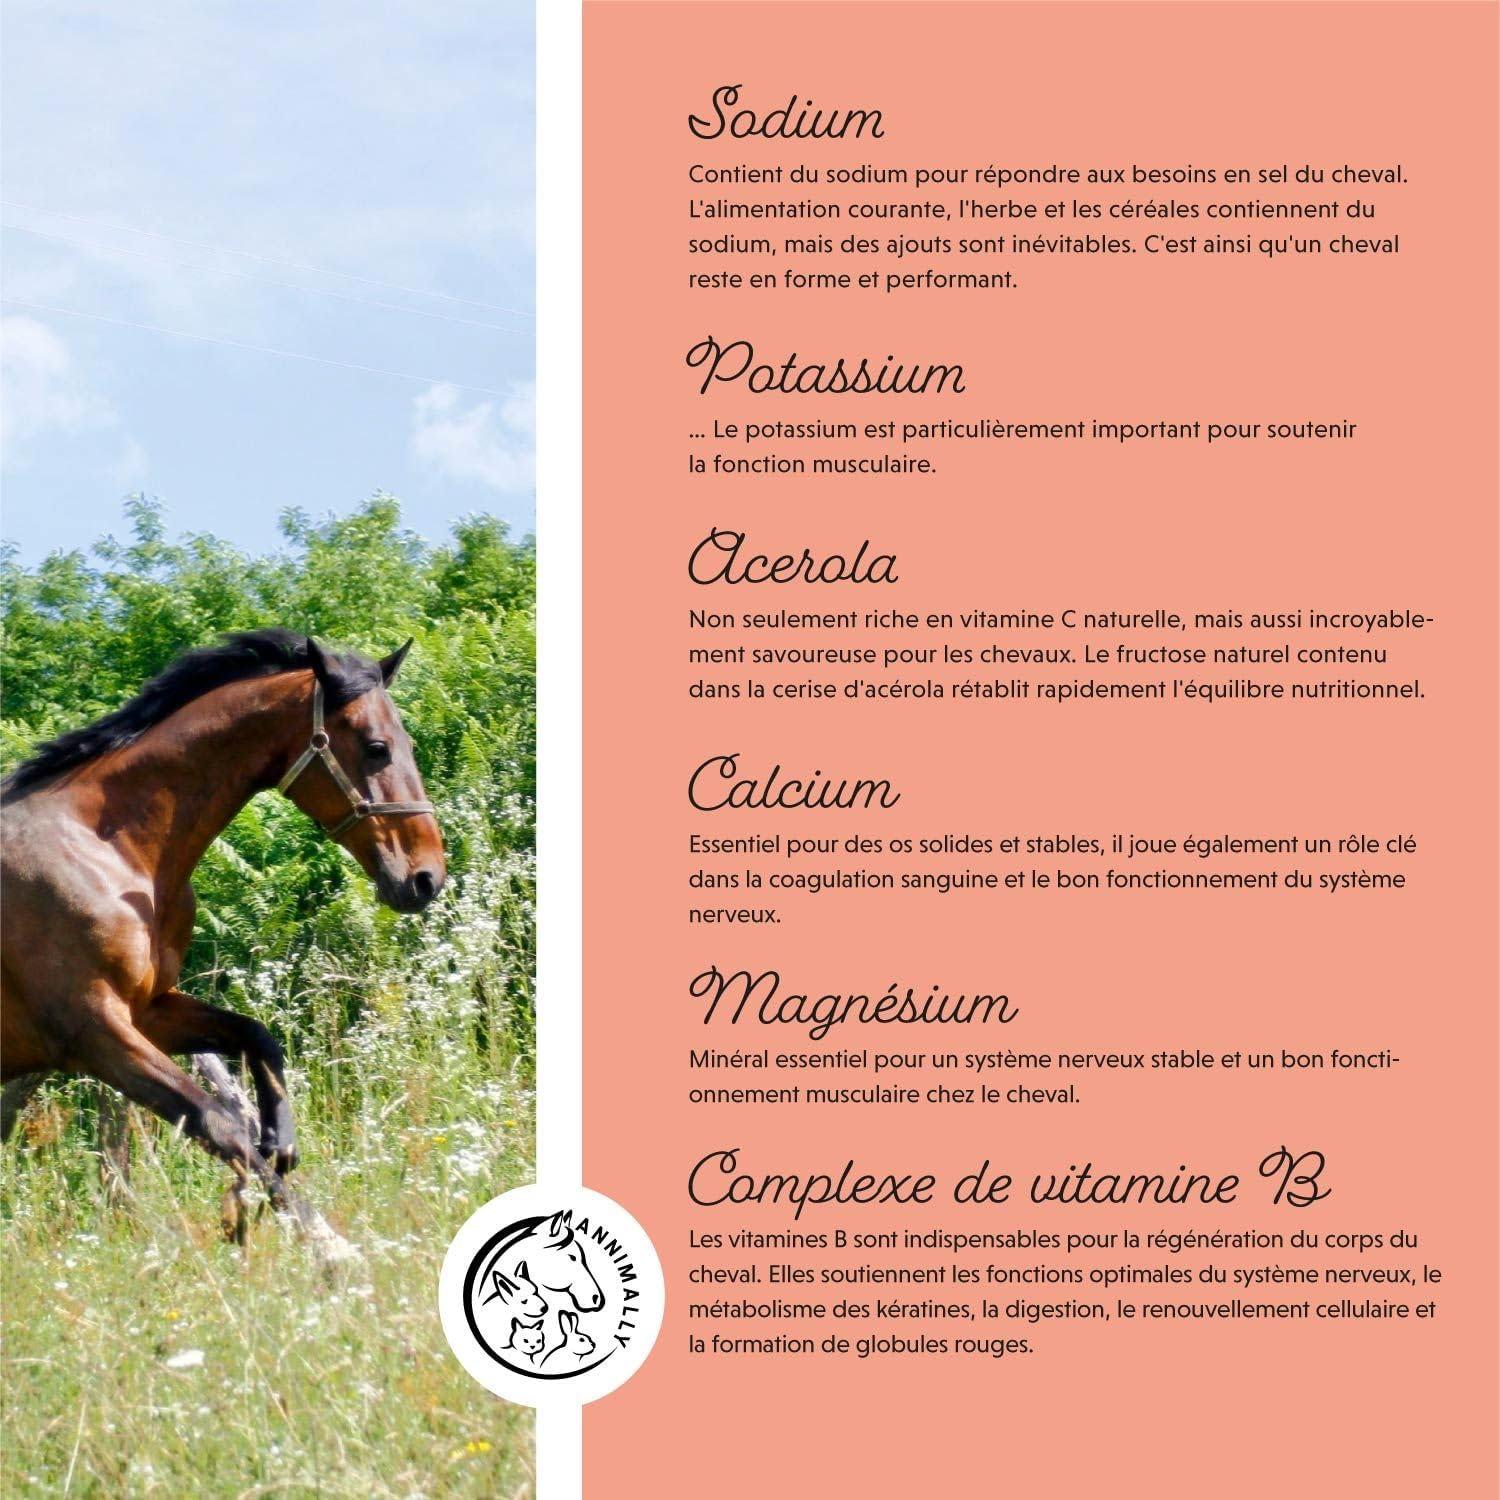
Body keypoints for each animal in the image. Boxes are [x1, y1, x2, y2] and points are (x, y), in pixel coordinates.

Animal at [0, 629, 445, 1217]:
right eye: (377, 748)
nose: (426, 878)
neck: (104, 850)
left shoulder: (147, 1011)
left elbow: (256, 1036)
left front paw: (281, 1140)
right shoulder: (93, 1032)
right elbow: (221, 1126)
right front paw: (313, 1235)